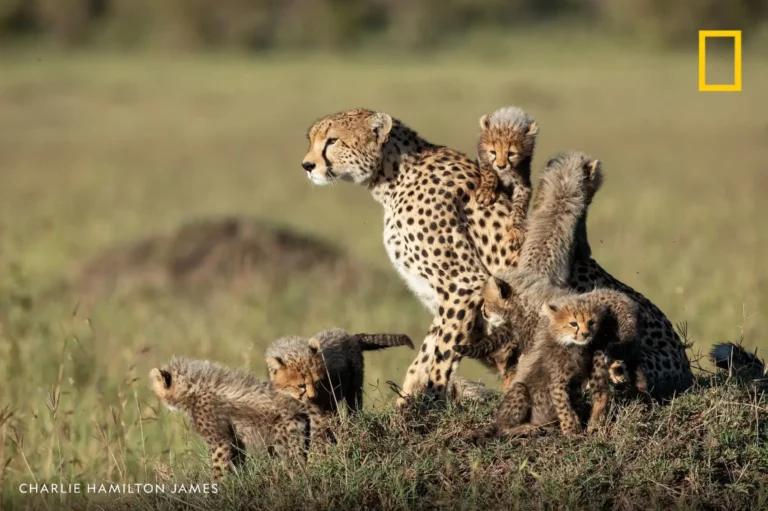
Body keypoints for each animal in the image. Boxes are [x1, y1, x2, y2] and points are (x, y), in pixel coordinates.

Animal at [304, 109, 692, 404]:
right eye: (312, 138)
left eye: (333, 140)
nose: (307, 165)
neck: (392, 176)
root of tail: (686, 368)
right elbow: (426, 356)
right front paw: (409, 405)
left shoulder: (463, 284)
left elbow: (440, 356)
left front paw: (422, 409)